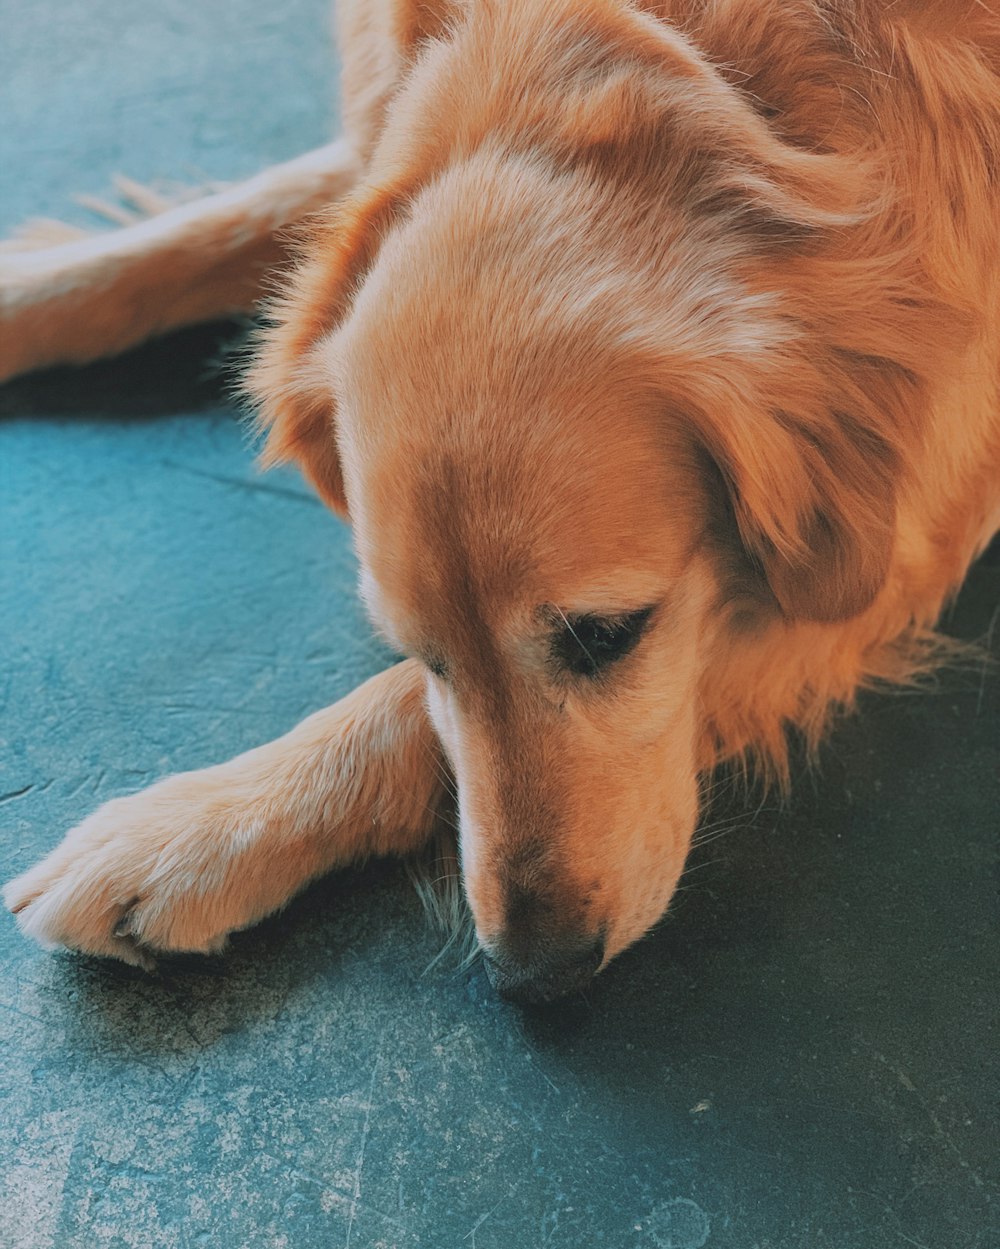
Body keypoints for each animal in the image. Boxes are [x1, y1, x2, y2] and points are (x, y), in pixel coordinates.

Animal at [1, 0, 998, 1004]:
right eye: (421, 649)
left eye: (607, 636)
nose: (534, 970)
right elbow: (184, 239)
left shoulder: (897, 543)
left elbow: (397, 713)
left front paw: (188, 835)